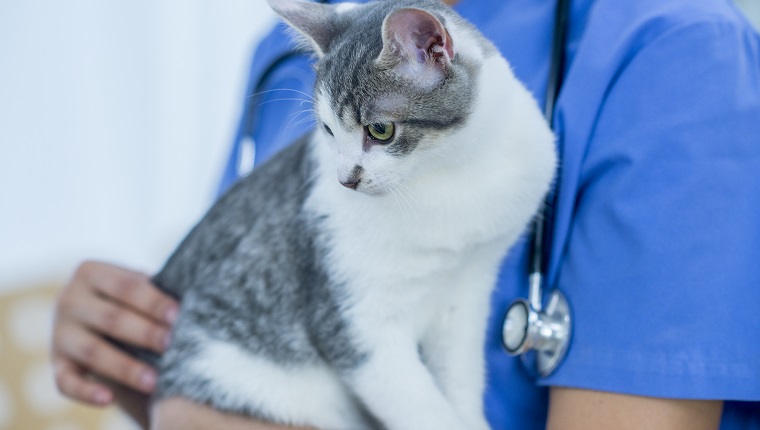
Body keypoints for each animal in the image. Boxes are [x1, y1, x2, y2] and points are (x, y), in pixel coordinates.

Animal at [144, 0, 560, 428]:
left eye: (380, 130)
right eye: (328, 130)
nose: (346, 179)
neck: (448, 172)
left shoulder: (467, 288)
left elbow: (460, 376)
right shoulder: (355, 319)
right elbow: (423, 408)